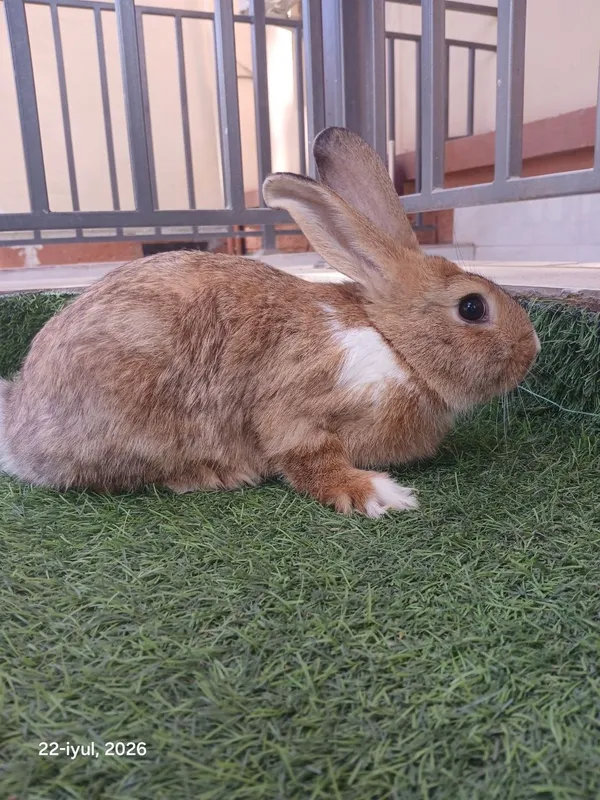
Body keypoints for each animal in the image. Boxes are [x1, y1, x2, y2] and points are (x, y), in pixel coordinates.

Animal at [0, 126, 539, 517]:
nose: (533, 349)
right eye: (472, 308)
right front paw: (380, 494)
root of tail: (21, 430)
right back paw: (215, 476)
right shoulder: (299, 404)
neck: (394, 345)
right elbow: (309, 457)